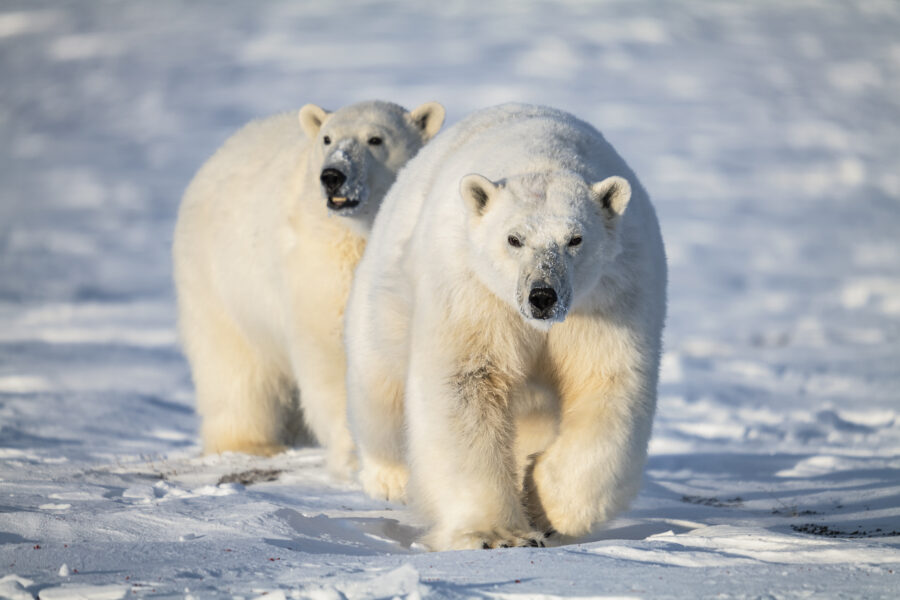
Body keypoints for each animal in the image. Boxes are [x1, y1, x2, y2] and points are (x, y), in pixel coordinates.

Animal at [171, 99, 442, 478]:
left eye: (375, 139)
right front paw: (354, 455)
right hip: (220, 283)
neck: (361, 233)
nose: (332, 176)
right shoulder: (323, 269)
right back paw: (251, 442)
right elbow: (332, 356)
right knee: (233, 367)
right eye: (327, 138)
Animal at [344, 103, 668, 548]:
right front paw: (498, 534)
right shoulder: (473, 291)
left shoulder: (612, 295)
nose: (542, 296)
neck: (544, 154)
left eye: (575, 239)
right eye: (514, 239)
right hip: (389, 292)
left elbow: (607, 385)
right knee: (379, 378)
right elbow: (466, 380)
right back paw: (390, 477)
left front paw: (543, 504)